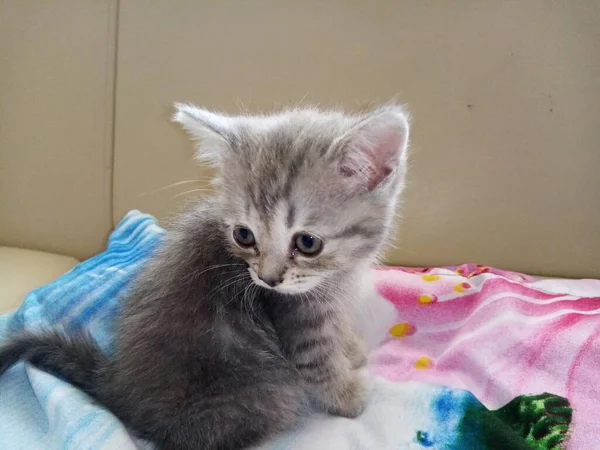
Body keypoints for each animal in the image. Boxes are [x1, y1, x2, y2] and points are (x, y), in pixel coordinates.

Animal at [0, 103, 408, 450]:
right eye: (243, 235)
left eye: (307, 242)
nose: (268, 280)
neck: (338, 274)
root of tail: (118, 388)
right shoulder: (297, 320)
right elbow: (319, 364)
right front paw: (351, 397)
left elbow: (338, 331)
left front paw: (352, 349)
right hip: (266, 394)